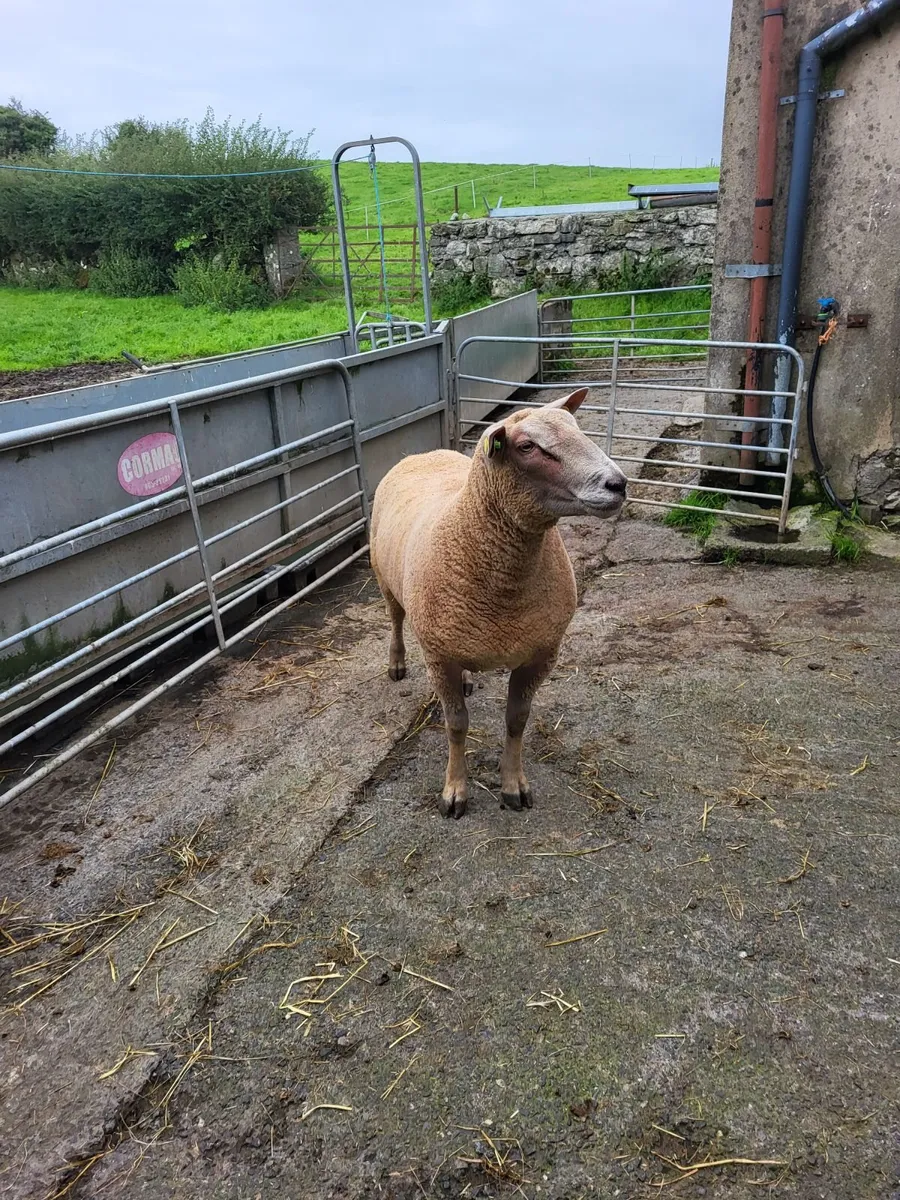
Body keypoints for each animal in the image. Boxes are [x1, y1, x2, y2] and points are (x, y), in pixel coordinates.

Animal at [369, 388, 627, 819]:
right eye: (527, 447)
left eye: (578, 429)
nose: (618, 484)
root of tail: (423, 453)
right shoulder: (438, 655)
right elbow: (457, 724)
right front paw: (454, 791)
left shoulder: (540, 653)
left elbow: (517, 720)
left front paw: (513, 786)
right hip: (385, 580)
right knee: (395, 620)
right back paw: (397, 664)